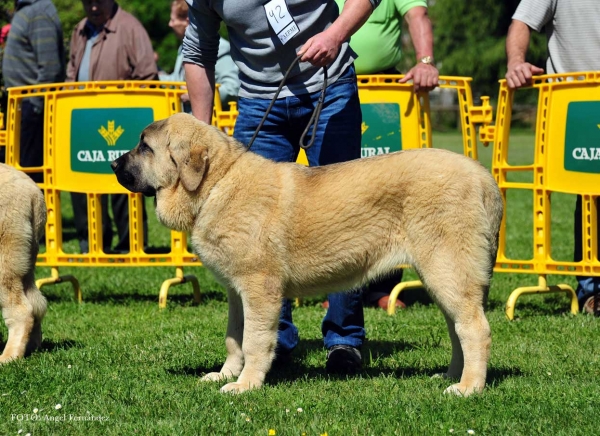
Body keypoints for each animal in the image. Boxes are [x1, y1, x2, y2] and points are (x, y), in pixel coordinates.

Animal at [111, 111, 502, 396]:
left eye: (145, 147)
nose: (113, 165)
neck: (216, 185)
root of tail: (484, 178)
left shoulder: (259, 289)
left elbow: (253, 340)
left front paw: (245, 385)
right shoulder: (237, 292)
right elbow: (234, 338)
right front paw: (225, 374)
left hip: (447, 269)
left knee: (476, 329)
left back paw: (469, 388)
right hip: (444, 277)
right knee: (457, 328)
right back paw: (450, 377)